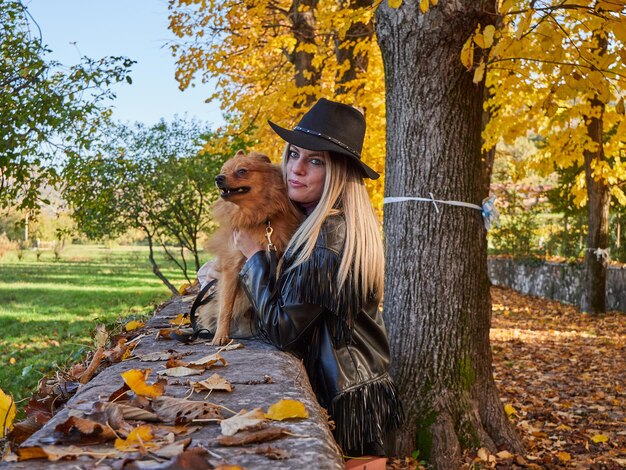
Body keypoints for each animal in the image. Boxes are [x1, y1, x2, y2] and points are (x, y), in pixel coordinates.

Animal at [196, 151, 302, 346]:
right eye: (223, 170)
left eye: (242, 171)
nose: (218, 178)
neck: (257, 217)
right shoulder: (232, 267)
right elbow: (226, 306)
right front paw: (221, 335)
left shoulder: (278, 253)